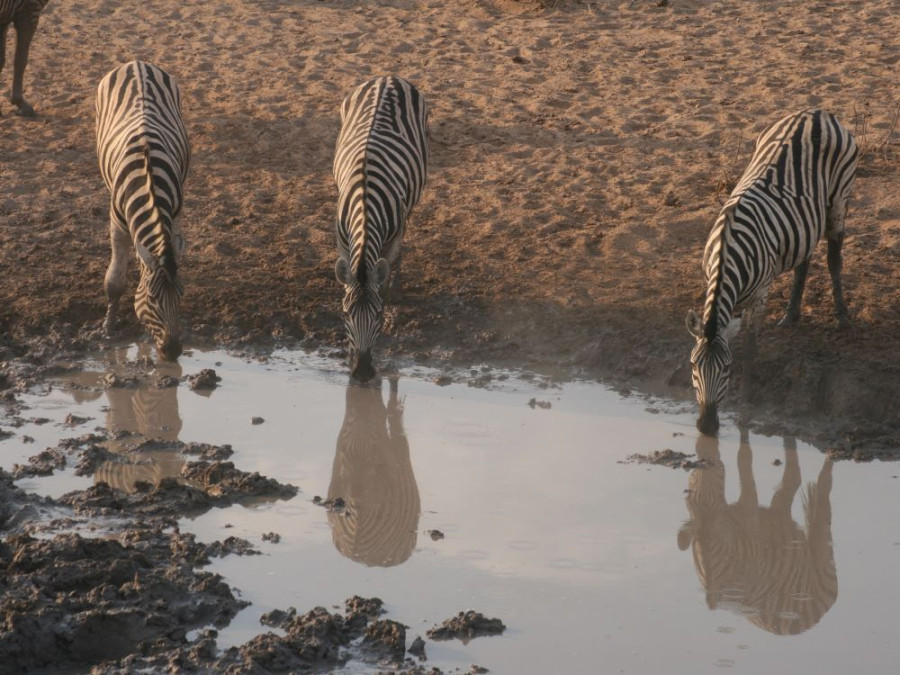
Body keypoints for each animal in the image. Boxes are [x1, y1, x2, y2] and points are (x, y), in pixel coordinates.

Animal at [95, 60, 190, 362]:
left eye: (181, 295)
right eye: (151, 299)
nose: (172, 352)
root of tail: (137, 63)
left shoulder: (176, 213)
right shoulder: (117, 223)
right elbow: (114, 282)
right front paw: (108, 329)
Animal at [334, 76, 428, 382]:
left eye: (378, 315)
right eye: (345, 314)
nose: (363, 372)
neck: (365, 200)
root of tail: (388, 77)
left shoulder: (392, 237)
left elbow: (384, 273)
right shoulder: (343, 241)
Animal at [680, 434, 840, 632]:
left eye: (718, 472)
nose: (705, 454)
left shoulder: (748, 511)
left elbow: (744, 458)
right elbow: (744, 458)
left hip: (822, 555)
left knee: (821, 489)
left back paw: (830, 453)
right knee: (793, 480)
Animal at [688, 105, 856, 434]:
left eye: (726, 368)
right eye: (693, 367)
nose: (707, 426)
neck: (727, 255)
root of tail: (815, 111)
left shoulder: (760, 294)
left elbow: (751, 345)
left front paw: (746, 399)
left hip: (839, 199)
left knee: (834, 258)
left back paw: (842, 317)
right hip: (803, 220)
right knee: (804, 261)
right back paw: (790, 315)